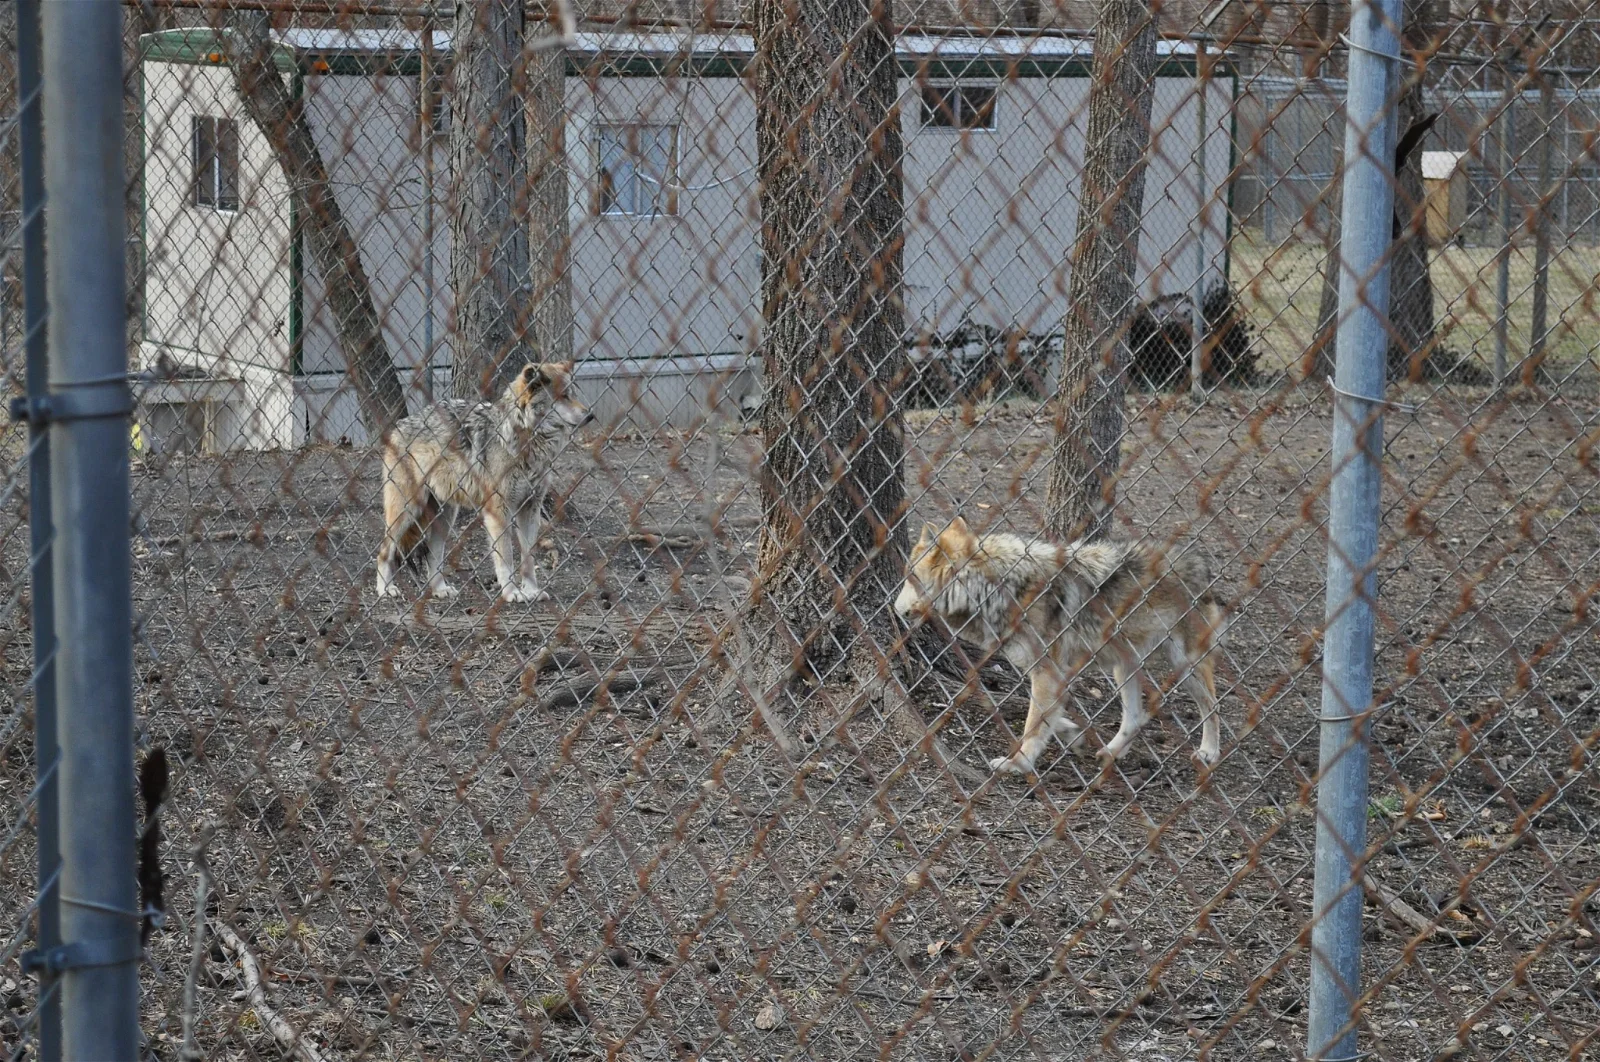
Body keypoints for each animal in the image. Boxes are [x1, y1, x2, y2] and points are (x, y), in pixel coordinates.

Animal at [375, 362, 593, 602]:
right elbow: (506, 556)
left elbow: (528, 557)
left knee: (433, 554)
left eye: (573, 394)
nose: (590, 415)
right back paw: (386, 589)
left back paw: (440, 589)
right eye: (563, 396)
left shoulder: (530, 508)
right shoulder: (499, 509)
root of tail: (398, 426)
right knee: (384, 550)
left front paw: (531, 591)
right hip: (407, 510)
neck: (525, 439)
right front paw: (512, 593)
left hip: (445, 517)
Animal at [894, 517, 1228, 775]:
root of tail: (1201, 563)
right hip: (1124, 669)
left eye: (911, 578)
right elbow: (1049, 717)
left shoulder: (1047, 671)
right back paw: (1111, 752)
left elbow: (1032, 724)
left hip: (1185, 666)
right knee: (1134, 718)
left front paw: (1018, 764)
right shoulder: (1053, 674)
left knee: (1213, 706)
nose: (894, 609)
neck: (996, 589)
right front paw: (1071, 733)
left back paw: (1209, 753)